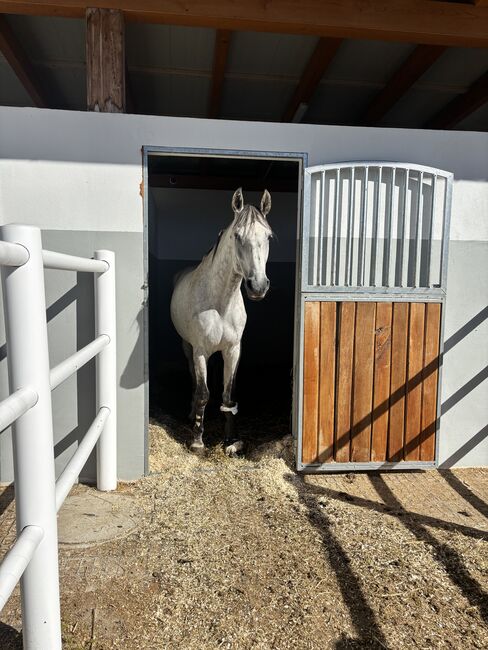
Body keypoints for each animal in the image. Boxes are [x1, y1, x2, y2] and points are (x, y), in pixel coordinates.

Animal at [170, 187, 272, 454]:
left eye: (268, 236)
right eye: (237, 236)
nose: (258, 286)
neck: (221, 303)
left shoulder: (233, 350)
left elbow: (228, 395)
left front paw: (230, 441)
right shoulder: (200, 351)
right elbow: (203, 393)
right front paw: (197, 441)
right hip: (187, 347)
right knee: (194, 381)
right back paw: (191, 414)